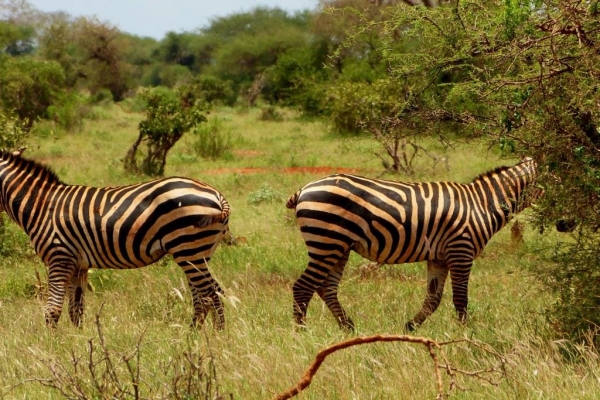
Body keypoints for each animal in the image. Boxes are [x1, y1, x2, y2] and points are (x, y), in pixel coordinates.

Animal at [0, 150, 230, 328]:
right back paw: (193, 336)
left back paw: (215, 338)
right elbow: (76, 309)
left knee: (213, 293)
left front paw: (54, 346)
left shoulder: (59, 257)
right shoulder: (78, 265)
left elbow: (53, 310)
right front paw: (77, 342)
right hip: (197, 253)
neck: (40, 206)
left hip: (187, 248)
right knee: (202, 296)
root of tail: (218, 196)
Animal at [286, 158, 544, 330]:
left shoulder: (439, 257)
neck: (482, 204)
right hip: (326, 242)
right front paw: (465, 335)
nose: (557, 222)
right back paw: (302, 332)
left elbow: (433, 299)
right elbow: (460, 298)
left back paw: (348, 327)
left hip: (339, 246)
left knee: (326, 288)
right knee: (303, 287)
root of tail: (304, 188)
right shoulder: (461, 250)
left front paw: (410, 327)